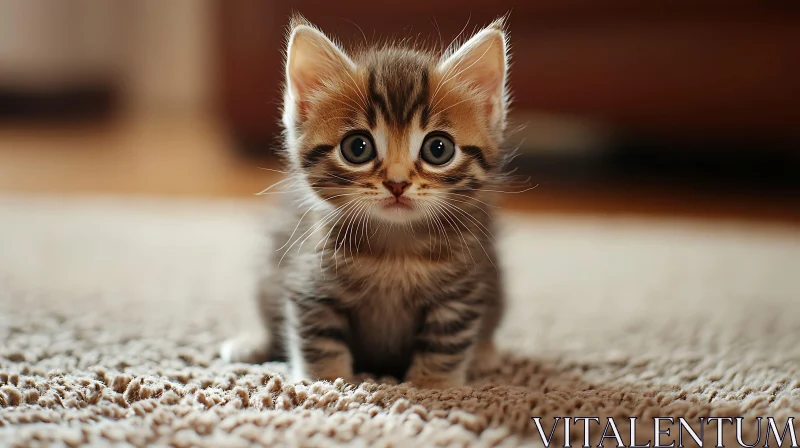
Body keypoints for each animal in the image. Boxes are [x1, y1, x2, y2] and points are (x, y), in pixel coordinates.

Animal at [222, 15, 510, 390]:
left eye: (438, 149)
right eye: (357, 148)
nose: (398, 183)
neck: (395, 249)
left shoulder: (462, 289)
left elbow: (446, 341)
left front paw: (434, 386)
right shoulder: (309, 280)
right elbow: (318, 338)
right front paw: (325, 382)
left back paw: (485, 354)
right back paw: (252, 343)